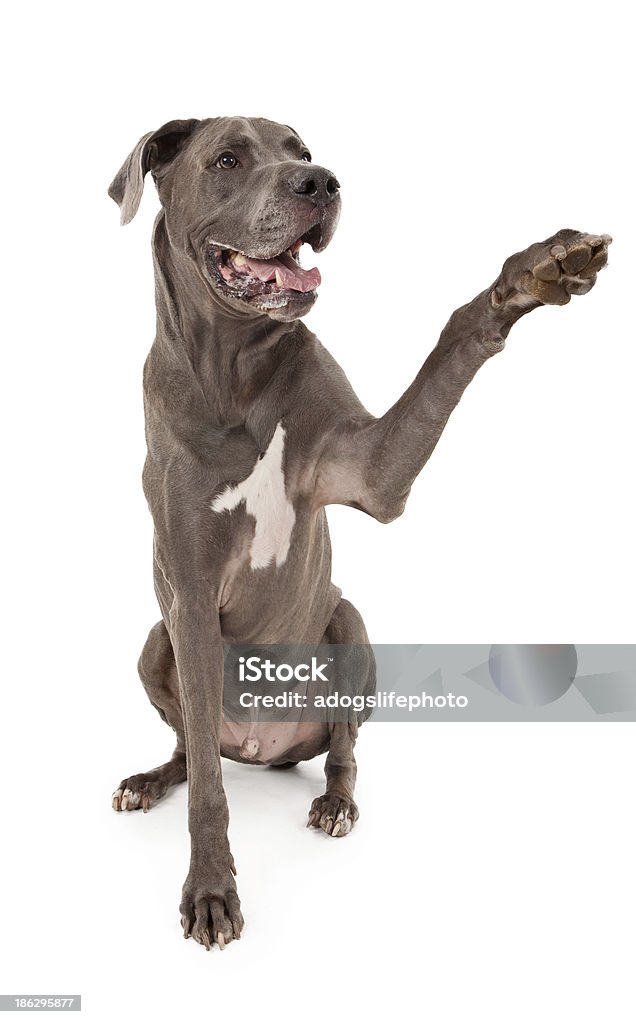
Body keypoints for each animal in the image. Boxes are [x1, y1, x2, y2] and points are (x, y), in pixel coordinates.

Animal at [108, 117, 610, 950]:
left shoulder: (373, 471)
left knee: (343, 748)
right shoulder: (189, 591)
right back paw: (153, 779)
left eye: (301, 151)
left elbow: (452, 340)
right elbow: (208, 783)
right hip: (157, 639)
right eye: (227, 158)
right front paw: (211, 889)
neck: (237, 370)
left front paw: (536, 270)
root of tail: (262, 749)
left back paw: (336, 803)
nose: (321, 183)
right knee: (195, 748)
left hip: (349, 625)